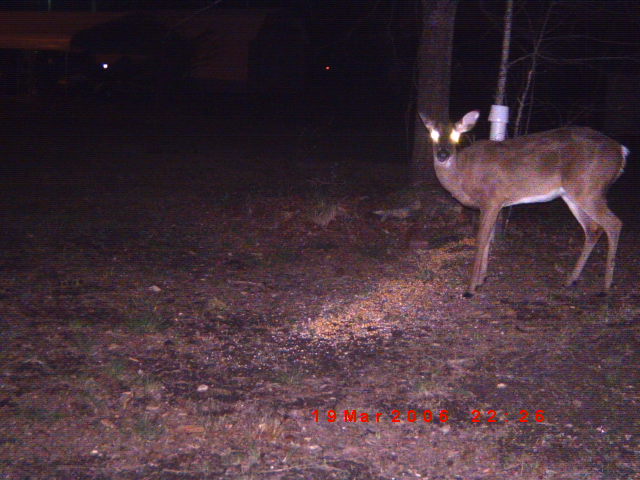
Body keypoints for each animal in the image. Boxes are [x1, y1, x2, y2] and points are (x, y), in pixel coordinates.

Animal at [419, 110, 628, 298]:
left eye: (456, 134)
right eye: (433, 134)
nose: (443, 154)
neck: (463, 175)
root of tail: (621, 152)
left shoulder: (491, 198)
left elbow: (480, 240)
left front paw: (470, 289)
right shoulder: (496, 204)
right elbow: (487, 240)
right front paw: (481, 281)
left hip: (590, 188)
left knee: (614, 223)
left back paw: (605, 287)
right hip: (574, 194)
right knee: (593, 228)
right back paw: (571, 280)